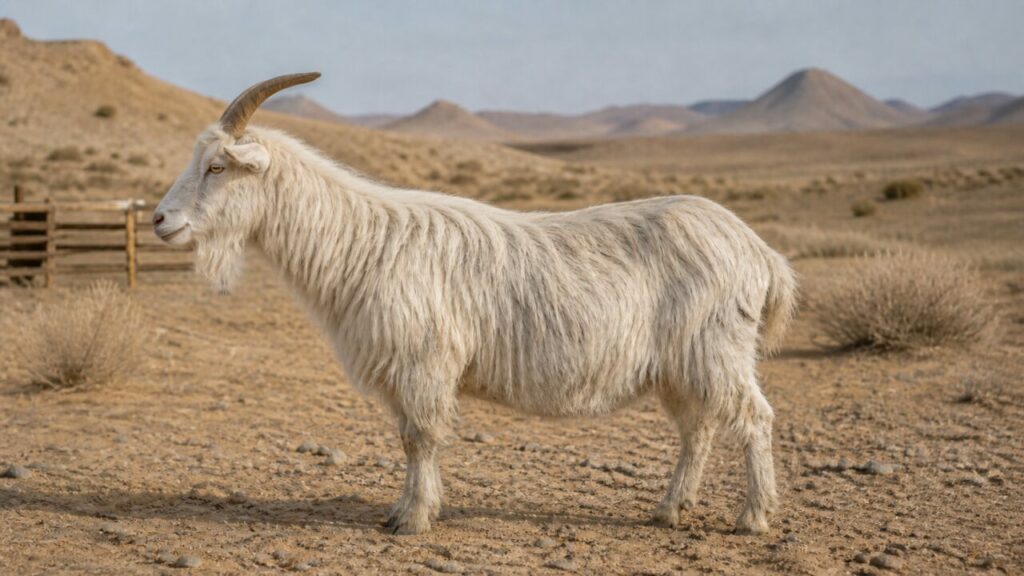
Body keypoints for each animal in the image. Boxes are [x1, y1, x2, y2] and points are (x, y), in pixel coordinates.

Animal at [154, 73, 798, 535]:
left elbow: (421, 437)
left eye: (216, 166)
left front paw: (412, 520)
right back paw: (669, 510)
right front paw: (407, 511)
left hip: (717, 350)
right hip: (680, 366)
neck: (361, 241)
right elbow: (410, 437)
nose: (161, 220)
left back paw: (752, 518)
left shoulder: (424, 362)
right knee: (698, 429)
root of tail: (760, 252)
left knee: (754, 419)